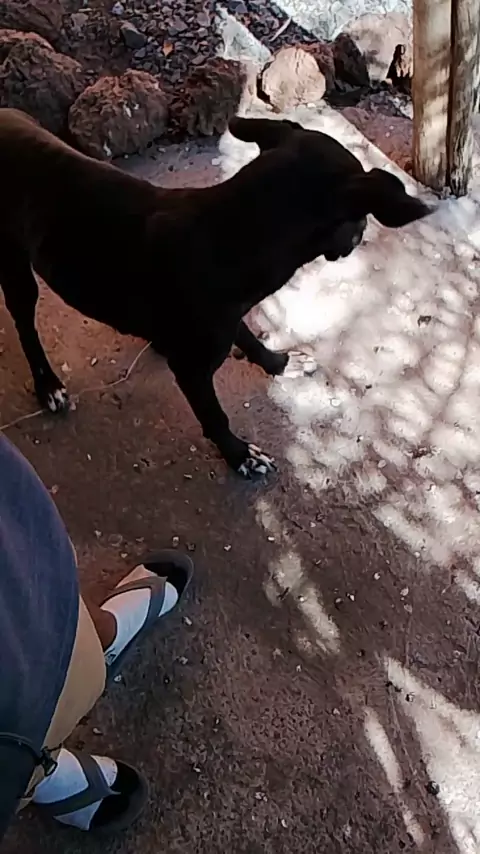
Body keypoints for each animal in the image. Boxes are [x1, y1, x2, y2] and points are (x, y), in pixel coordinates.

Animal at [0, 109, 431, 476]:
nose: (361, 236)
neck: (231, 231)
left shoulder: (229, 315)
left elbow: (249, 337)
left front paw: (278, 363)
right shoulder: (191, 369)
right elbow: (214, 416)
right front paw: (239, 456)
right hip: (17, 271)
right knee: (25, 327)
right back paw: (48, 385)